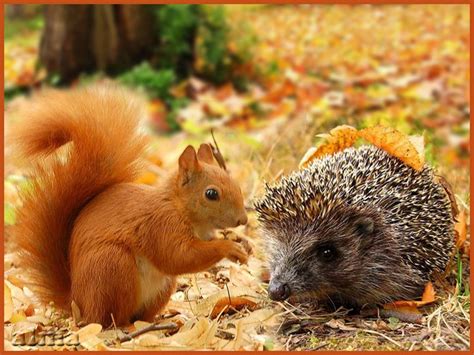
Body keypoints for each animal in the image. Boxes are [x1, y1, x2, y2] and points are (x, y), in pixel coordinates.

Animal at [10, 85, 248, 326]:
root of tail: (78, 304)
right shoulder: (161, 226)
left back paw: (158, 320)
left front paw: (243, 247)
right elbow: (179, 256)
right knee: (110, 318)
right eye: (211, 194)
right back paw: (128, 326)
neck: (179, 207)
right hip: (113, 268)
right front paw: (227, 247)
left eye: (235, 183)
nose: (243, 219)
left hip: (160, 287)